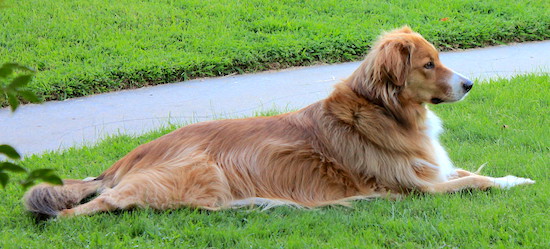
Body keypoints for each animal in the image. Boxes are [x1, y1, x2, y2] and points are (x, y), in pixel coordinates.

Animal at [23, 27, 536, 218]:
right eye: (429, 65)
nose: (470, 84)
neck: (385, 109)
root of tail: (131, 155)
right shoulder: (420, 188)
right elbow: (477, 182)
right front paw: (513, 183)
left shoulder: (433, 170)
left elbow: (472, 171)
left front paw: (519, 176)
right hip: (194, 175)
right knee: (84, 207)